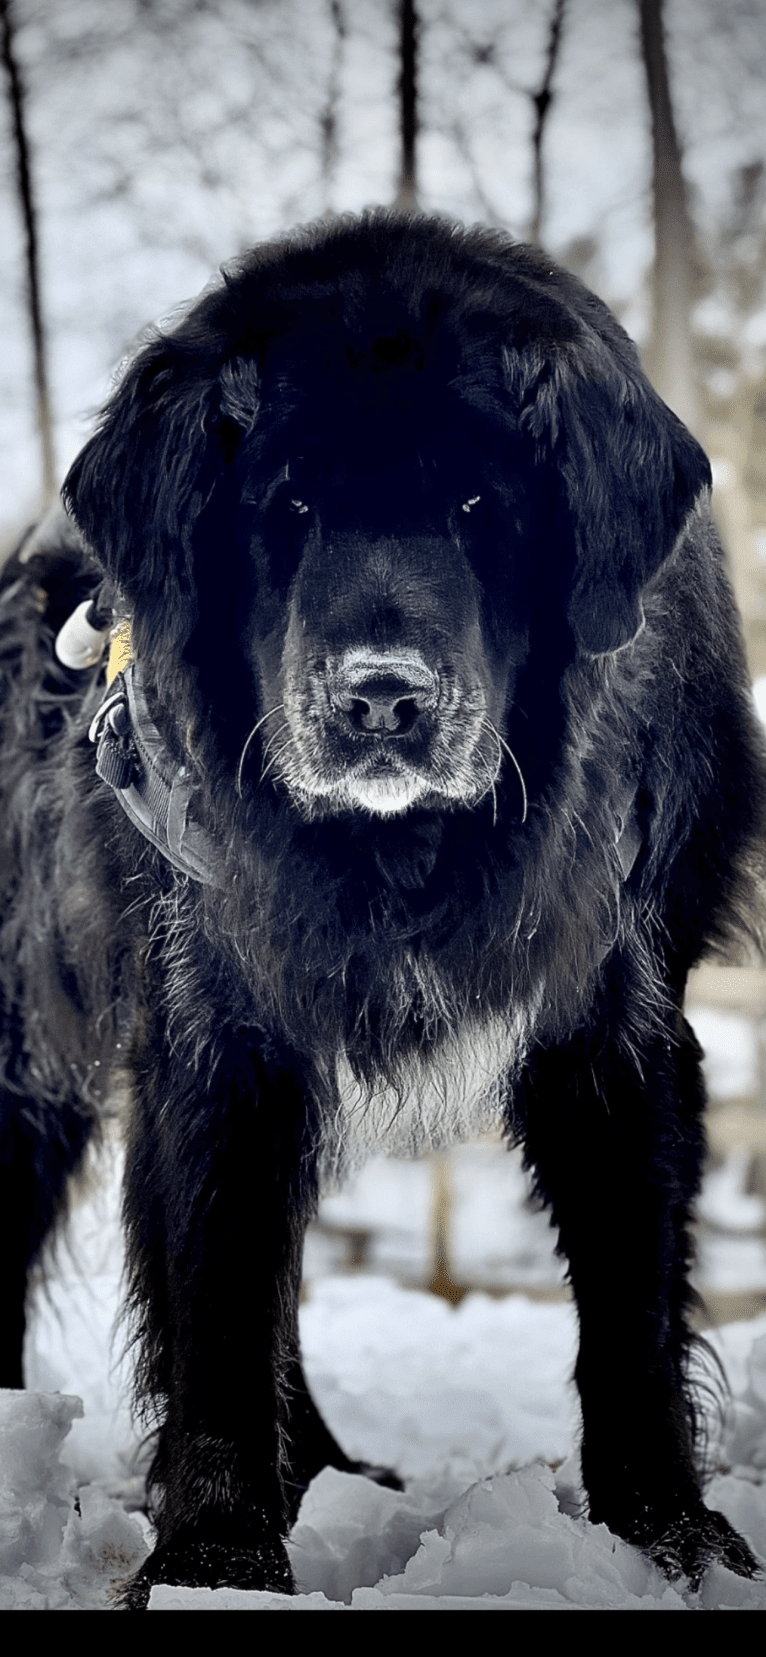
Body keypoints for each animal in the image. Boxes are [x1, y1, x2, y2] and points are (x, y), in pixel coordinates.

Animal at [1, 213, 766, 1597]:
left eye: (475, 504)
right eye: (291, 506)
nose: (380, 696)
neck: (405, 863)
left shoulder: (612, 1022)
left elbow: (631, 1305)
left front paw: (668, 1537)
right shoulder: (223, 1027)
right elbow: (217, 1306)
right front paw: (216, 1559)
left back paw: (325, 1469)